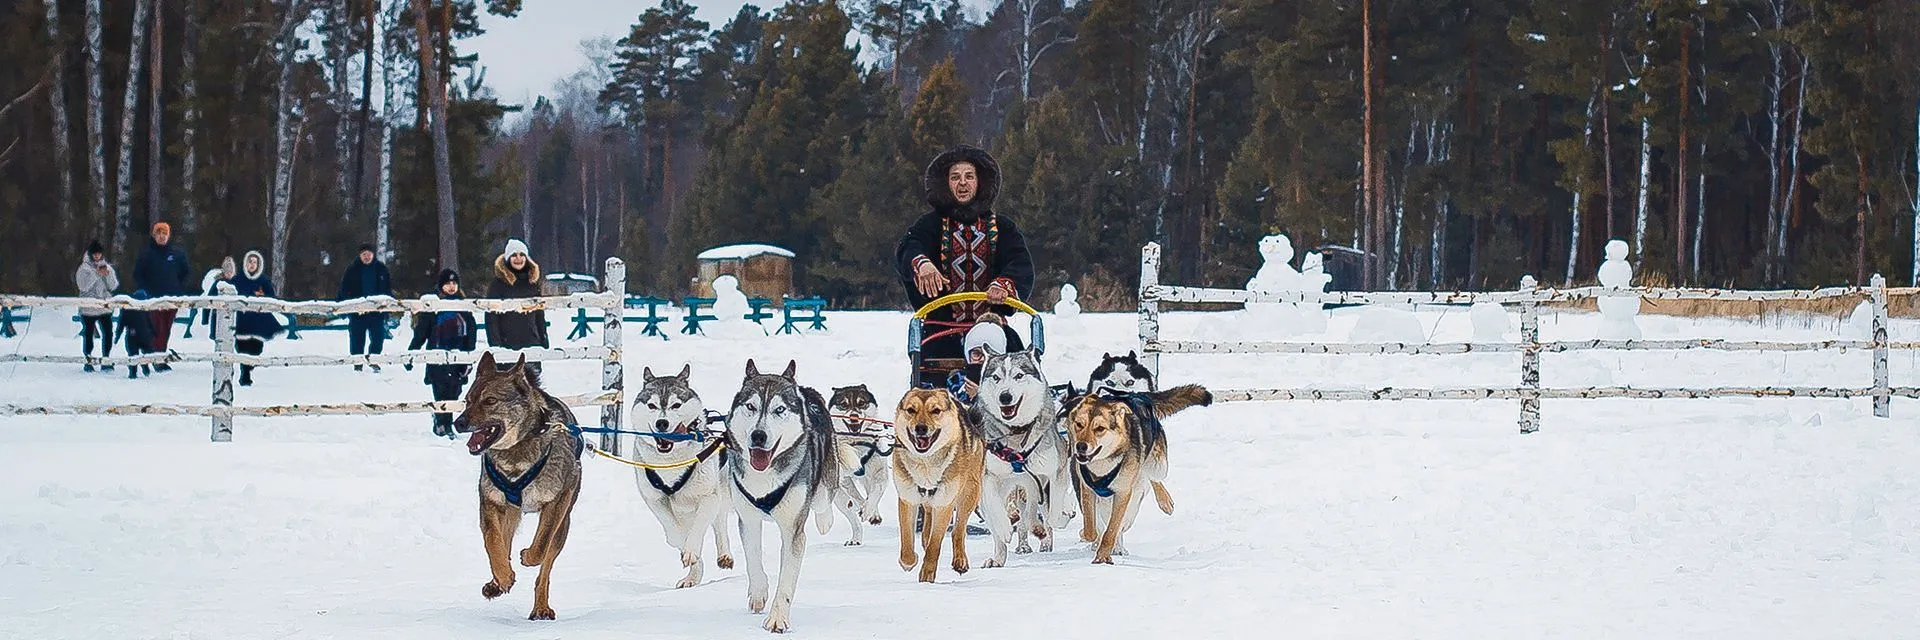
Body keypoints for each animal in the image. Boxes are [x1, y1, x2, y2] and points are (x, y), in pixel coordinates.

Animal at [629, 363, 733, 588]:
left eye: (676, 405)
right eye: (651, 406)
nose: (662, 423)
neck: (671, 462)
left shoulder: (708, 497)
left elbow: (698, 529)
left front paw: (691, 550)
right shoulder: (655, 500)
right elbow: (673, 534)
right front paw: (690, 557)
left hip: (721, 493)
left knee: (719, 523)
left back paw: (724, 555)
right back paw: (692, 577)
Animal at [721, 359, 837, 634]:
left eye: (779, 409)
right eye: (751, 406)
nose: (758, 435)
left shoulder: (793, 530)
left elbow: (786, 579)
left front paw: (777, 618)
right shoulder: (748, 519)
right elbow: (753, 558)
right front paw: (758, 591)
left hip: (823, 488)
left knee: (823, 503)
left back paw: (824, 521)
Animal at [890, 386, 990, 580]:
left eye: (935, 410)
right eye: (911, 410)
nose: (921, 428)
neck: (925, 463)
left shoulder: (945, 503)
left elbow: (935, 545)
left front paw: (927, 575)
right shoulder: (908, 499)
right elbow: (907, 541)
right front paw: (909, 561)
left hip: (969, 493)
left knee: (958, 530)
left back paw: (960, 560)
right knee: (928, 522)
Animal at [975, 349, 1082, 565]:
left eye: (1019, 375)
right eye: (996, 377)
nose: (1005, 396)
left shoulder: (1053, 474)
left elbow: (1054, 514)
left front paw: (1064, 513)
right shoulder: (990, 476)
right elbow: (997, 510)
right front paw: (1005, 527)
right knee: (1013, 522)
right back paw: (999, 557)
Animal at [1059, 380, 1205, 561]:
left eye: (1099, 428)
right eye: (1079, 424)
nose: (1080, 446)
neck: (1103, 464)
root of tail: (1137, 395)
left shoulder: (1122, 492)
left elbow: (1112, 529)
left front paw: (1103, 557)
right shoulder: (1087, 489)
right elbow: (1091, 529)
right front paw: (1092, 539)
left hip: (1157, 466)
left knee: (1152, 475)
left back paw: (1165, 501)